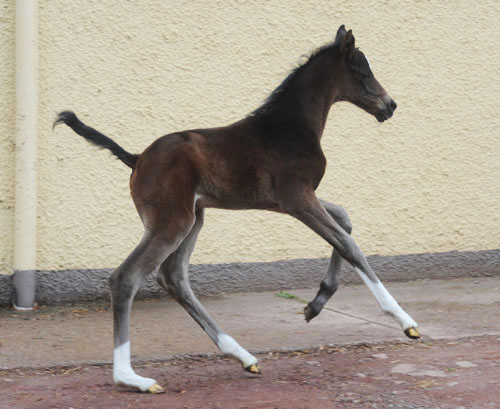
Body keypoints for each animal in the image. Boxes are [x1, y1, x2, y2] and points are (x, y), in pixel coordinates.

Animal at [54, 24, 420, 392]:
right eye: (363, 71)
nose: (390, 105)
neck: (291, 127)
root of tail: (136, 158)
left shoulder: (286, 201)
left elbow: (344, 218)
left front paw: (316, 304)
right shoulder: (297, 198)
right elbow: (348, 244)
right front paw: (404, 321)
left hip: (194, 218)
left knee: (174, 277)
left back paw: (241, 355)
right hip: (172, 222)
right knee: (126, 278)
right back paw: (131, 378)